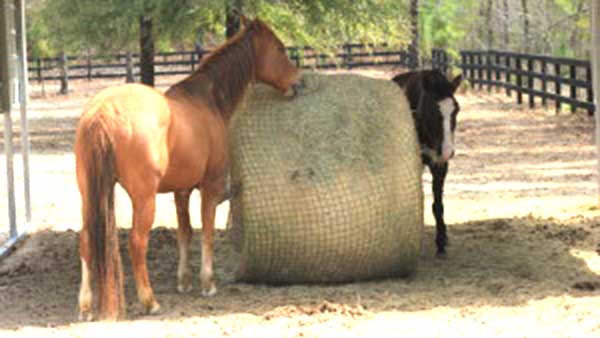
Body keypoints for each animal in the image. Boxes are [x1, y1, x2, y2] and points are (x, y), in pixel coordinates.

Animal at [75, 17, 300, 320]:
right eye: (279, 48)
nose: (298, 81)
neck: (208, 99)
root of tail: (104, 111)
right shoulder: (210, 187)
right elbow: (207, 231)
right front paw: (208, 283)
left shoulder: (181, 191)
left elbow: (185, 232)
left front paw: (183, 281)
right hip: (143, 199)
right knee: (137, 242)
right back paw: (150, 301)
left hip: (89, 195)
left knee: (86, 240)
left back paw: (85, 306)